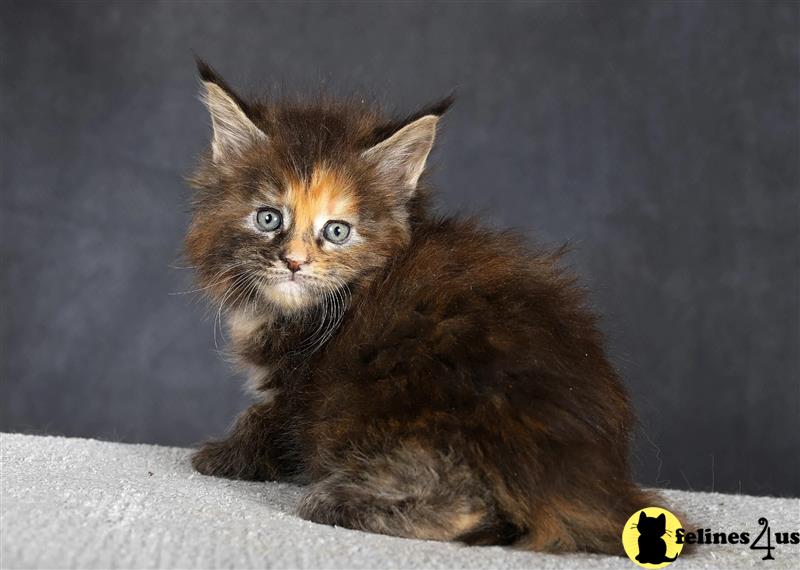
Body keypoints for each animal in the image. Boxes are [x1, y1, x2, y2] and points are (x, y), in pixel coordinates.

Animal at [186, 60, 664, 552]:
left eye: (337, 230)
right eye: (268, 218)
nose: (295, 262)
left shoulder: (297, 390)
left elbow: (261, 420)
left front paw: (219, 455)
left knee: (464, 503)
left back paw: (333, 501)